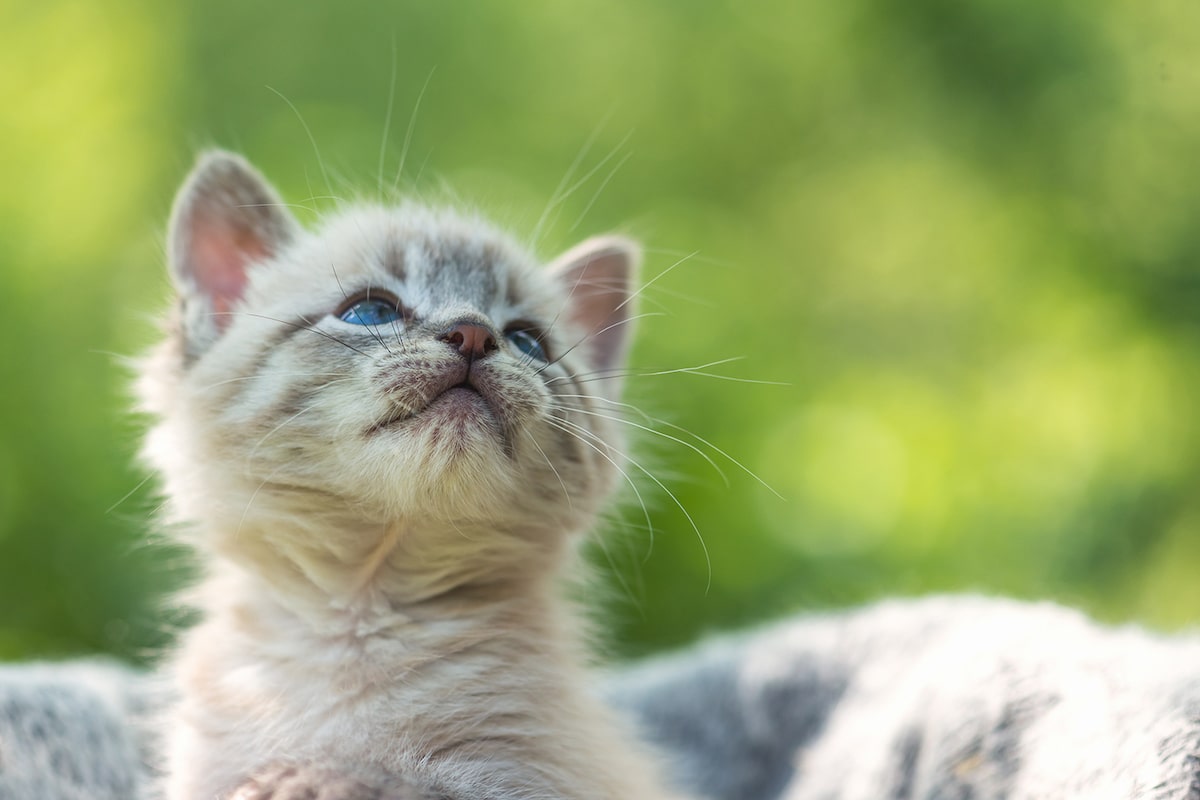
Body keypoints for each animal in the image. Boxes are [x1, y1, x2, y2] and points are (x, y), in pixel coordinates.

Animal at [139, 151, 686, 800]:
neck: (365, 613)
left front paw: (315, 776)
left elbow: (401, 783)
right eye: (371, 310)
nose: (474, 332)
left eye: (528, 340)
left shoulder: (527, 784)